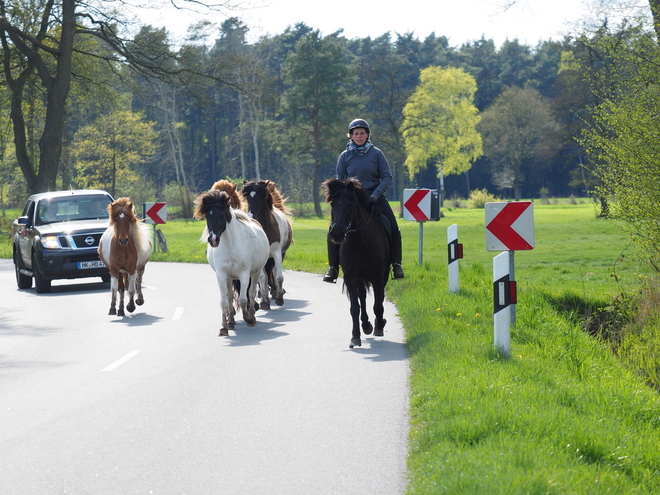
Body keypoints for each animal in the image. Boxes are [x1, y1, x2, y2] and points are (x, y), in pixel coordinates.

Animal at [193, 190, 270, 338]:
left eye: (222, 215)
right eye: (207, 216)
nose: (213, 240)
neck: (230, 246)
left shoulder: (244, 275)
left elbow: (243, 299)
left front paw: (248, 318)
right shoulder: (222, 275)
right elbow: (224, 301)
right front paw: (224, 327)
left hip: (256, 273)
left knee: (252, 293)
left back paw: (252, 317)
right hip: (229, 278)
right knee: (229, 297)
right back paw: (231, 322)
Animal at [240, 180, 292, 308]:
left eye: (260, 197)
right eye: (248, 197)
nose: (251, 217)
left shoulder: (277, 253)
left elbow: (278, 276)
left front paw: (279, 298)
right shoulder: (261, 257)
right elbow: (263, 278)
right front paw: (264, 302)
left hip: (280, 254)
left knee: (274, 271)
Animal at [322, 178, 390, 348]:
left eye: (350, 205)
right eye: (333, 205)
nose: (337, 234)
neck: (360, 242)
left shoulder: (378, 276)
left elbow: (378, 304)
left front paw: (379, 326)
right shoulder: (351, 277)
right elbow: (355, 307)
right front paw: (355, 337)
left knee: (378, 298)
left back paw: (376, 324)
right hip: (360, 279)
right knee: (363, 298)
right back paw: (366, 325)